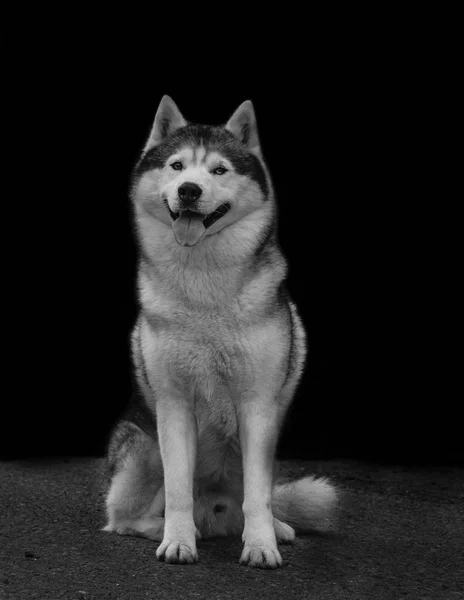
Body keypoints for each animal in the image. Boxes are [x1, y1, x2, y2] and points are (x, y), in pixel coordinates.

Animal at [104, 96, 338, 568]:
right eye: (177, 166)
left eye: (218, 170)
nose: (189, 191)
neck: (205, 293)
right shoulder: (174, 406)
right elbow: (177, 487)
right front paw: (178, 541)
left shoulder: (259, 407)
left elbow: (257, 496)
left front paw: (262, 544)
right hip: (144, 448)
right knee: (123, 519)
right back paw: (174, 527)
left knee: (252, 501)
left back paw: (271, 526)